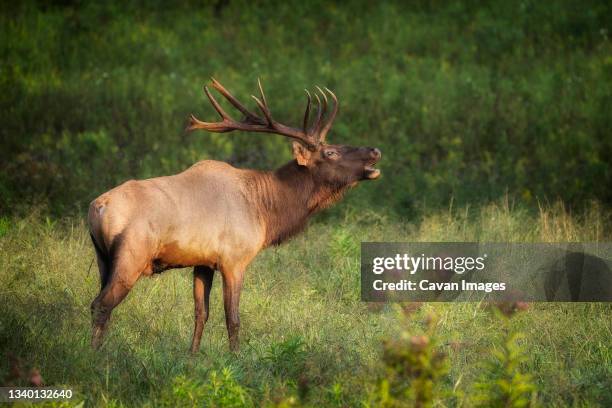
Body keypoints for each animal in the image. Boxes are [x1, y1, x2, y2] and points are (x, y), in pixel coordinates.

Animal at [88, 78, 380, 352]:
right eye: (330, 152)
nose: (374, 150)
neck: (266, 211)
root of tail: (97, 207)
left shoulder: (203, 262)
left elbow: (201, 313)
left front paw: (192, 356)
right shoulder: (234, 259)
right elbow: (233, 318)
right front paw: (236, 357)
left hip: (103, 258)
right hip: (132, 255)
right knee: (101, 305)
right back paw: (94, 355)